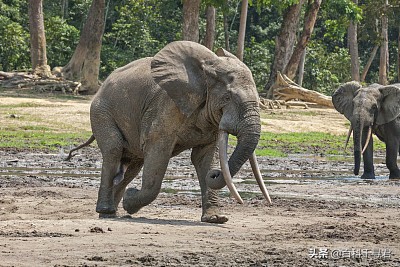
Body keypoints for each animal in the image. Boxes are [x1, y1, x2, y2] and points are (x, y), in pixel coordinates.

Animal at [67, 40, 270, 224]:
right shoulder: (166, 109)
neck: (207, 68)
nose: (215, 173)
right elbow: (158, 153)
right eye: (227, 97)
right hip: (101, 112)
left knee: (133, 164)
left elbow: (204, 157)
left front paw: (215, 219)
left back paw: (114, 211)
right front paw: (130, 199)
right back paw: (107, 211)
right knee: (114, 150)